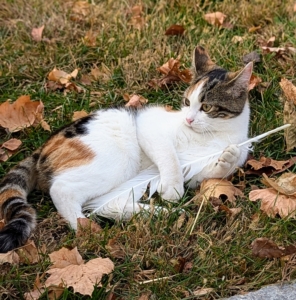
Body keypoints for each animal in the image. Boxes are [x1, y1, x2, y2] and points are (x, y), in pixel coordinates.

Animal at [0, 45, 252, 252]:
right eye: (187, 102)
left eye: (206, 107)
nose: (188, 119)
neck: (212, 134)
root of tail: (43, 147)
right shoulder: (149, 124)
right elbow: (169, 156)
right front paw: (172, 190)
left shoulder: (199, 170)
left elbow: (215, 171)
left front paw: (228, 158)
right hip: (117, 159)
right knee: (62, 190)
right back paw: (85, 229)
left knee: (104, 204)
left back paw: (160, 214)